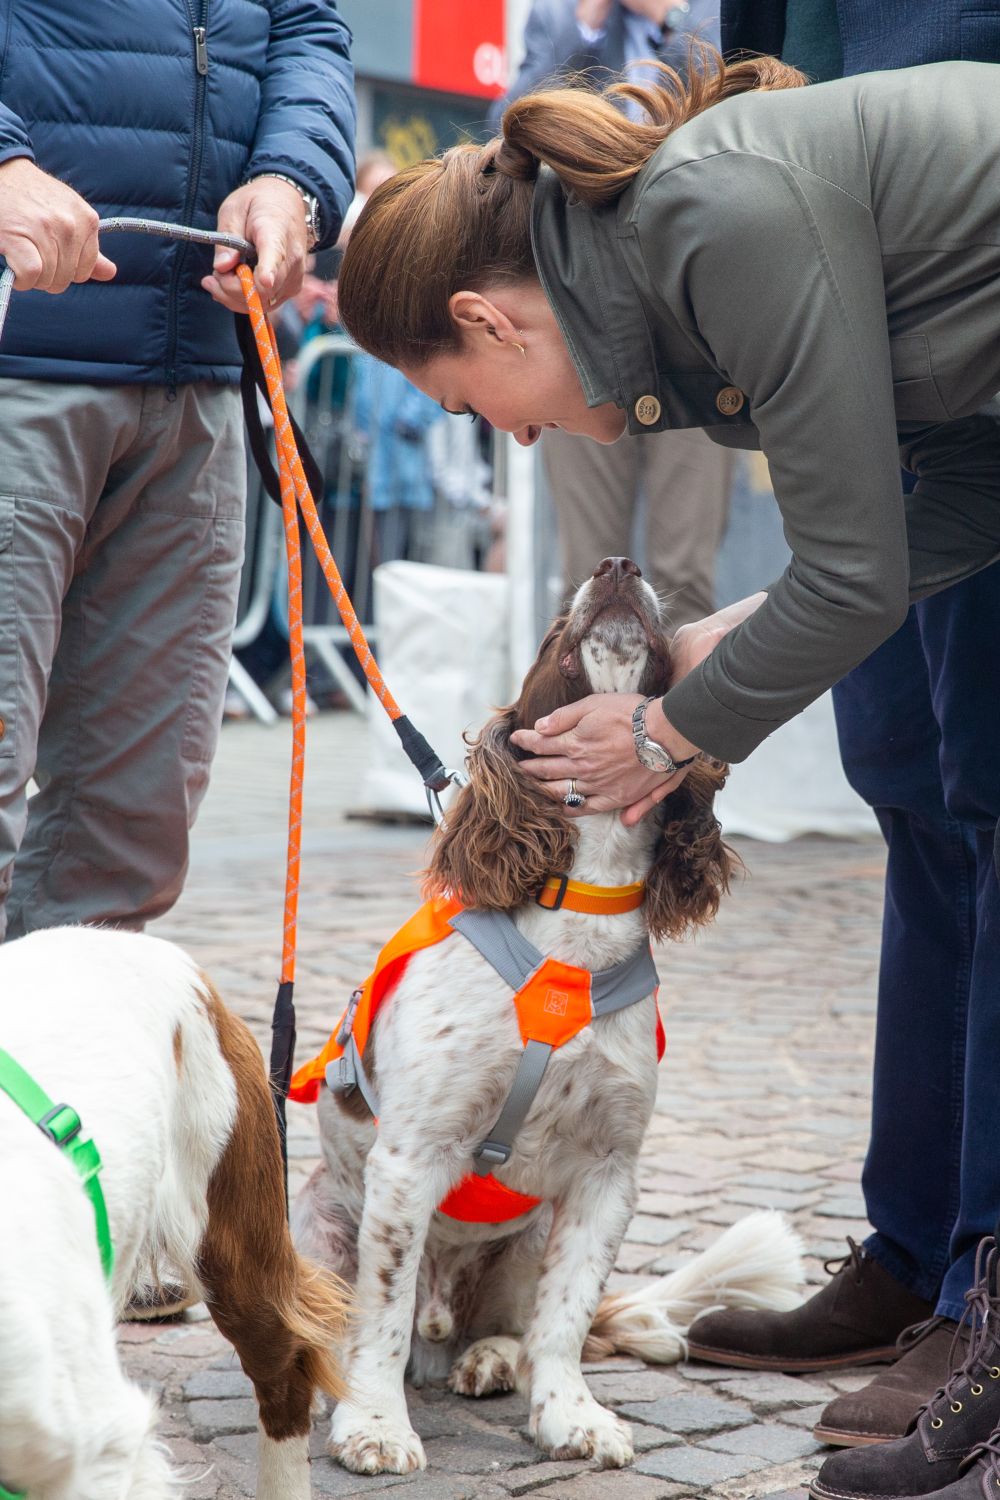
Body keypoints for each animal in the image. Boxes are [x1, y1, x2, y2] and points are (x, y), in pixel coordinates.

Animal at [290, 561, 803, 1476]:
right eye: (550, 636)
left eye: (664, 636)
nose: (618, 566)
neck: (579, 911)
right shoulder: (409, 1159)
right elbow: (380, 1318)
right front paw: (376, 1426)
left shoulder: (609, 1173)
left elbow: (564, 1320)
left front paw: (571, 1417)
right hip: (317, 1225)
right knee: (355, 1322)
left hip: (522, 1247)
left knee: (524, 1330)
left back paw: (492, 1360)